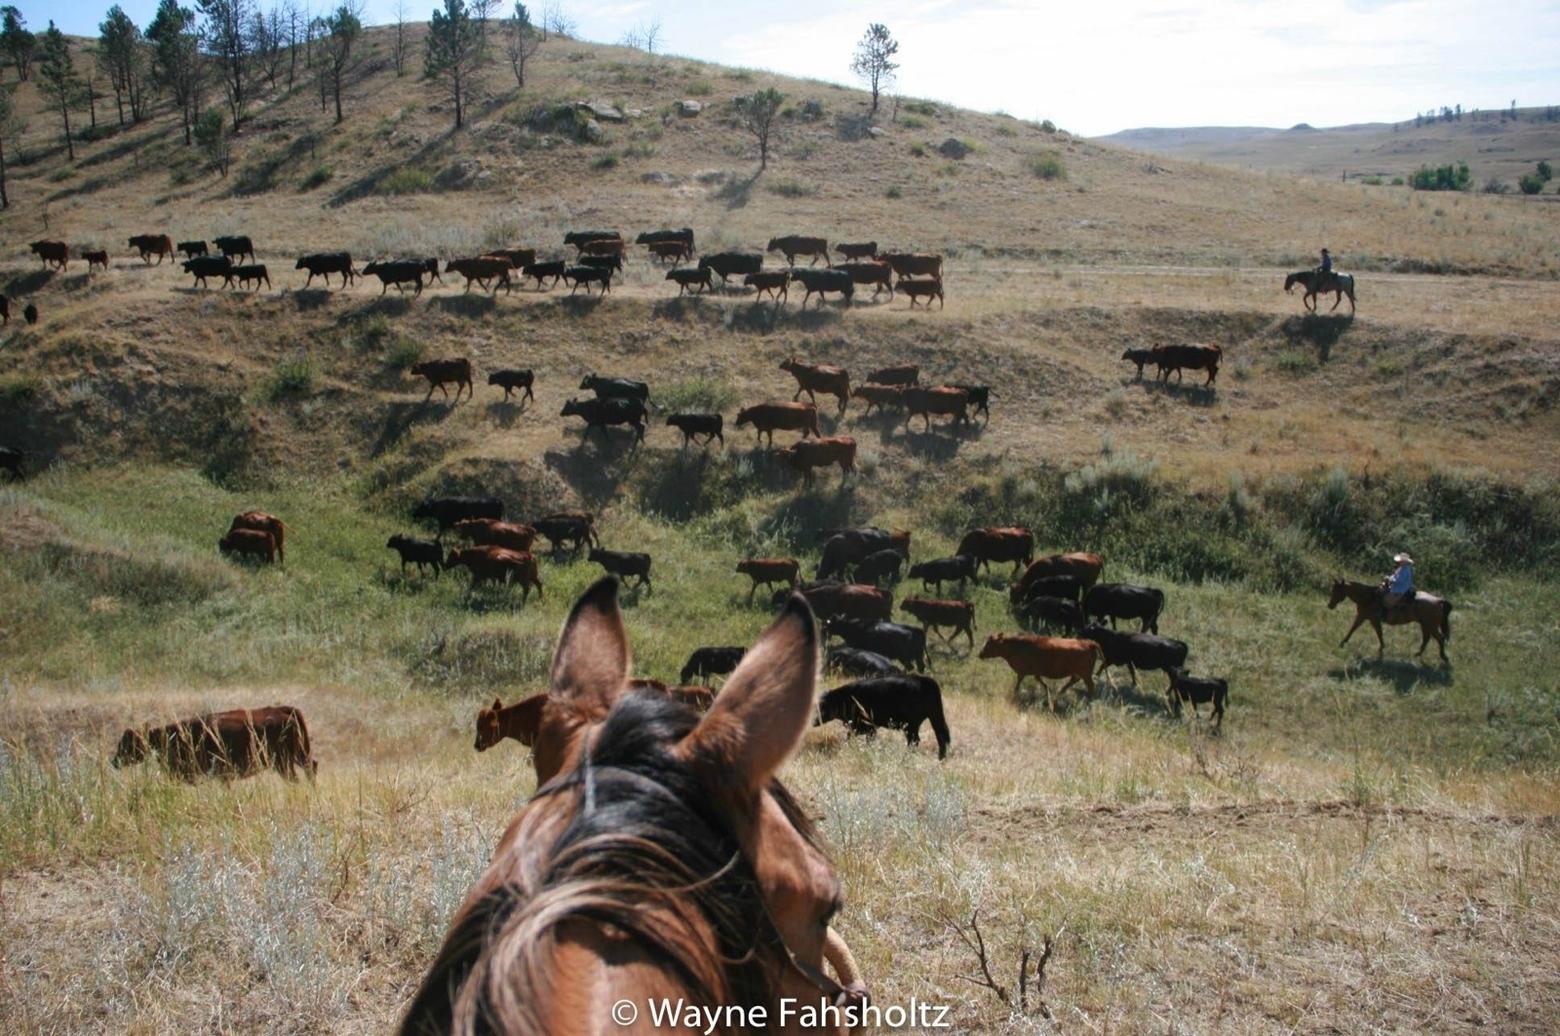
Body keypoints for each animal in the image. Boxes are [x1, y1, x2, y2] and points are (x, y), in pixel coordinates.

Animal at [817, 670, 948, 761]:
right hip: (934, 717)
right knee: (941, 736)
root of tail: (924, 680)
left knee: (915, 741)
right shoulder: (862, 727)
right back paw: (941, 758)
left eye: (821, 706)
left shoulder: (868, 727)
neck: (846, 697)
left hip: (912, 725)